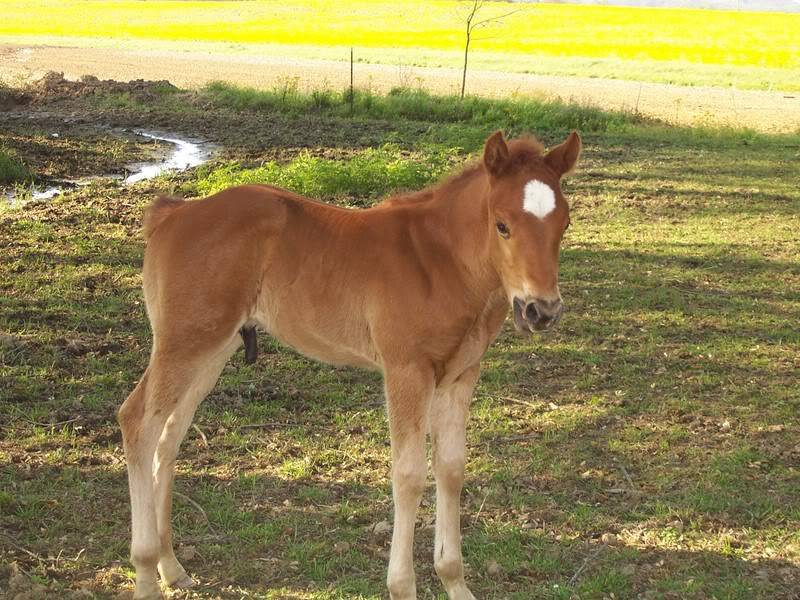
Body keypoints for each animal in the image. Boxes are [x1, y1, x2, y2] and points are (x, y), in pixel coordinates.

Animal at [119, 129, 580, 596]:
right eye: (502, 225)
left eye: (564, 224)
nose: (541, 310)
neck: (441, 262)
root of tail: (172, 213)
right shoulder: (406, 372)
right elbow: (409, 475)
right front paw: (402, 586)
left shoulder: (461, 375)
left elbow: (451, 469)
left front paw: (455, 584)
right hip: (185, 343)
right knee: (138, 421)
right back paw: (146, 575)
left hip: (213, 349)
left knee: (168, 437)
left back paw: (171, 567)